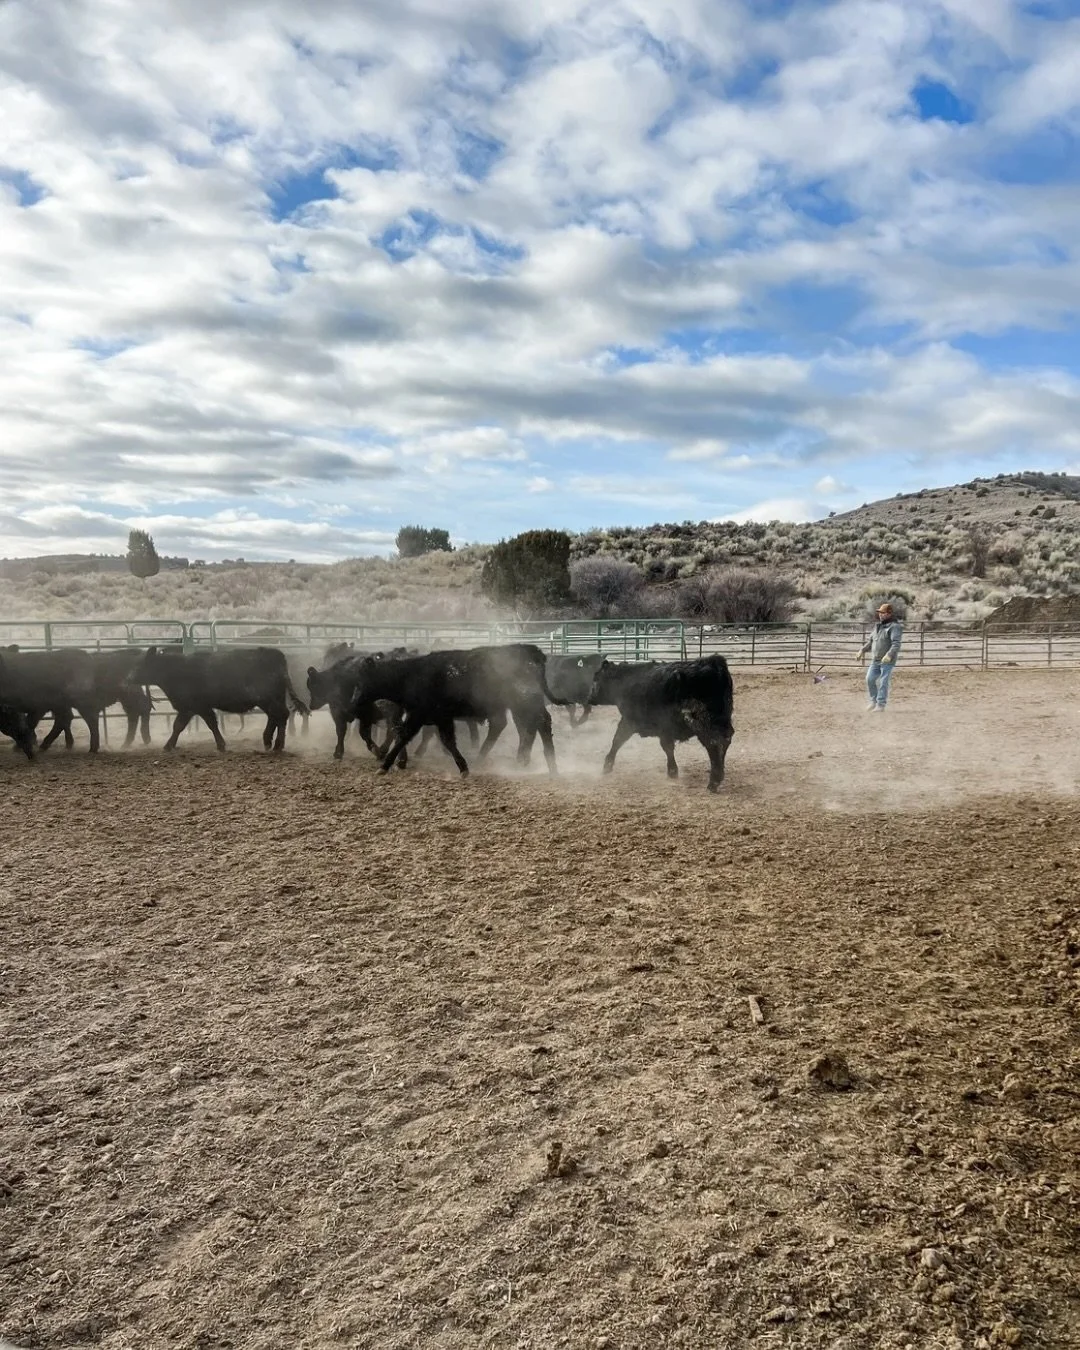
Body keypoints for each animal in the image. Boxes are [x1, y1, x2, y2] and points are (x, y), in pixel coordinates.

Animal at [130, 646, 309, 752]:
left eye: (140, 664)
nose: (129, 677)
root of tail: (276, 654)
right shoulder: (194, 708)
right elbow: (197, 724)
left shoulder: (193, 707)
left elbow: (185, 725)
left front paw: (168, 746)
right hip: (271, 699)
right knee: (275, 716)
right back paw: (267, 741)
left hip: (269, 698)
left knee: (281, 715)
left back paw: (277, 744)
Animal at [352, 644, 562, 777]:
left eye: (362, 680)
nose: (354, 701)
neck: (411, 676)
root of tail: (531, 651)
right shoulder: (441, 717)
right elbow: (448, 740)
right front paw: (463, 767)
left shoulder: (419, 714)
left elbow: (404, 736)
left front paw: (385, 765)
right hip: (520, 705)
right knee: (524, 727)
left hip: (525, 701)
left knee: (539, 723)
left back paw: (549, 764)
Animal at [586, 654, 734, 792]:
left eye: (596, 679)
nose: (589, 698)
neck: (625, 681)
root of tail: (712, 662)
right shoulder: (665, 728)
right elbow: (668, 748)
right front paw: (672, 771)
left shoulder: (629, 721)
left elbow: (617, 740)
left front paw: (607, 765)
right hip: (723, 721)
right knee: (725, 741)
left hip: (701, 721)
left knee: (714, 743)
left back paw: (714, 781)